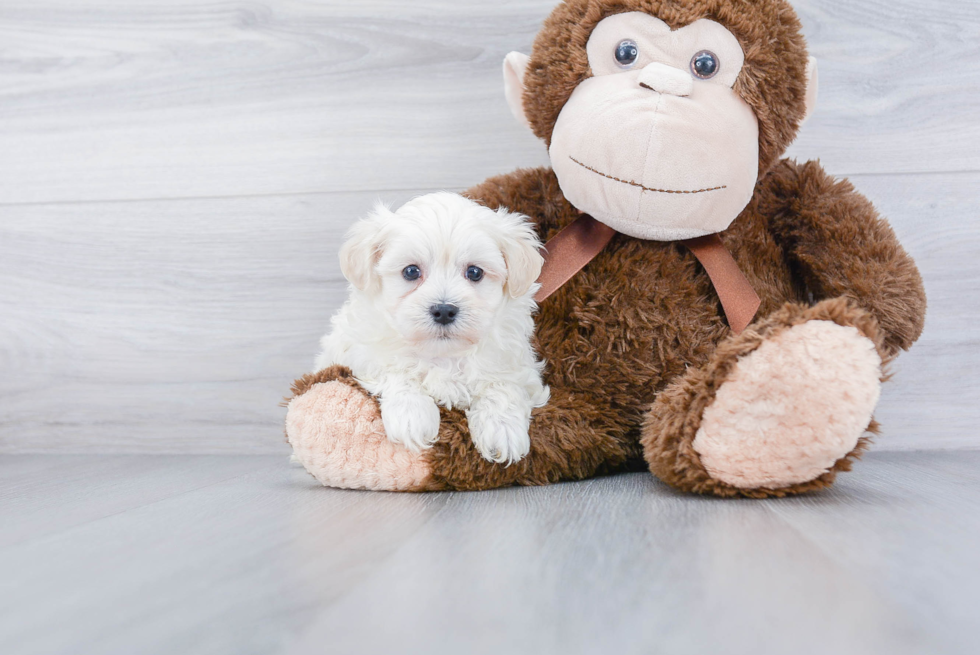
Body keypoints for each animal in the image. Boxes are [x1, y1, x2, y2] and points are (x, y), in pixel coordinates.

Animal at [320, 192, 556, 464]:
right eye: (411, 271)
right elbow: (397, 370)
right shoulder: (361, 353)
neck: (443, 354)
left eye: (475, 272)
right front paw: (412, 415)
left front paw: (503, 429)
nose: (444, 310)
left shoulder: (517, 365)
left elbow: (503, 384)